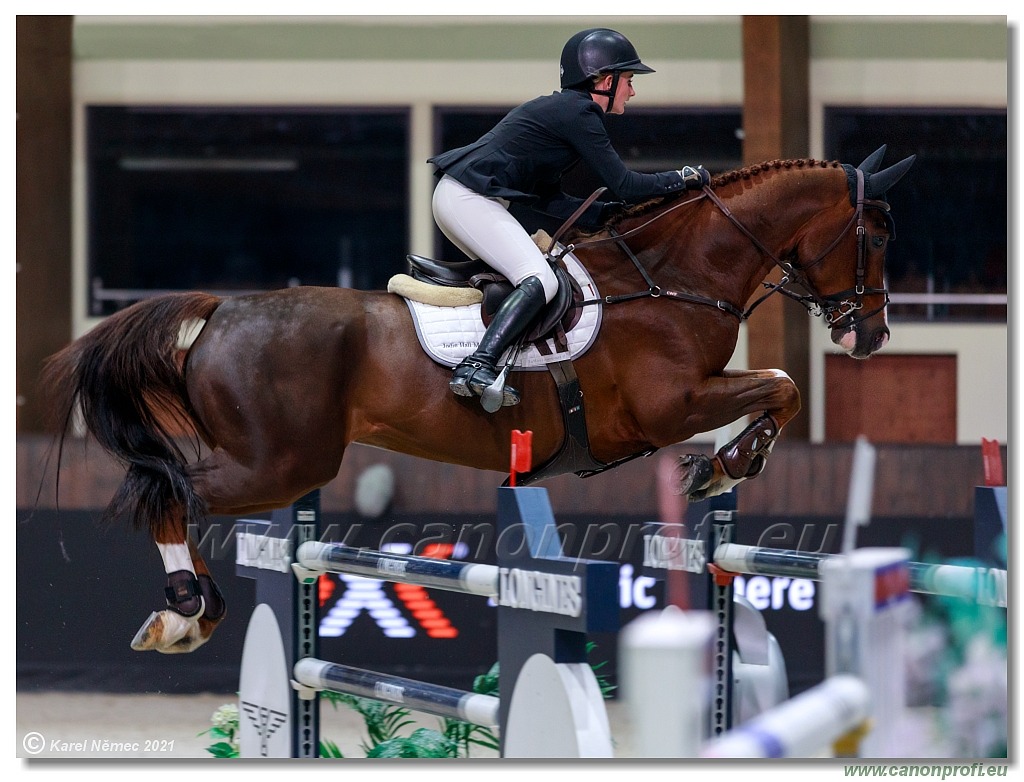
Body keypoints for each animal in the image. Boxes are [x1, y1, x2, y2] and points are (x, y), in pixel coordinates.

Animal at [44, 146, 917, 655]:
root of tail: (220, 307)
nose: (869, 334)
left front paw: (727, 464)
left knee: (172, 491)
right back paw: (183, 610)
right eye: (877, 234)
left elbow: (779, 388)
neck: (674, 278)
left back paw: (196, 609)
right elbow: (783, 384)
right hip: (281, 464)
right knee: (166, 491)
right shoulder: (667, 408)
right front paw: (729, 463)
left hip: (278, 464)